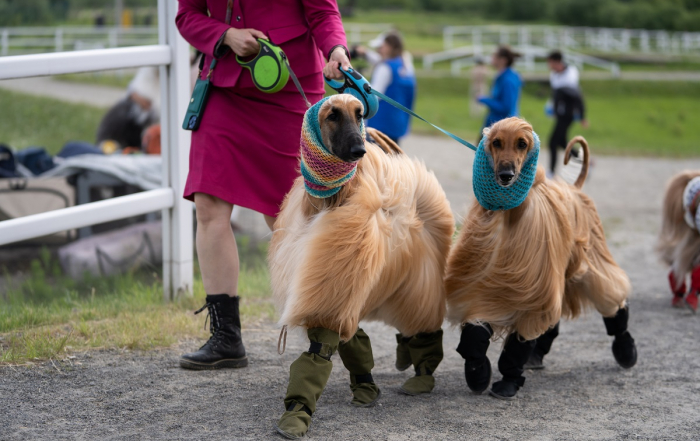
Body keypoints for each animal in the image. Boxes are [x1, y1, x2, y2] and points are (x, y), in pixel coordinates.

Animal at [268, 93, 454, 436]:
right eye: (332, 115)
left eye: (360, 114)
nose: (360, 150)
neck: (330, 201)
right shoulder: (337, 284)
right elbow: (341, 341)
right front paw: (301, 412)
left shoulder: (334, 279)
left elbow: (324, 345)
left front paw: (297, 414)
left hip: (419, 283)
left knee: (424, 324)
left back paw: (421, 375)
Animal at [446, 117, 636, 398]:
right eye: (496, 142)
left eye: (522, 143)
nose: (506, 176)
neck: (509, 218)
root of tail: (575, 188)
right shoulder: (483, 282)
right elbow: (474, 335)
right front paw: (478, 372)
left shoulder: (531, 288)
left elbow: (518, 344)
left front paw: (508, 382)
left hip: (590, 259)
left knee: (611, 294)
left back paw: (626, 350)